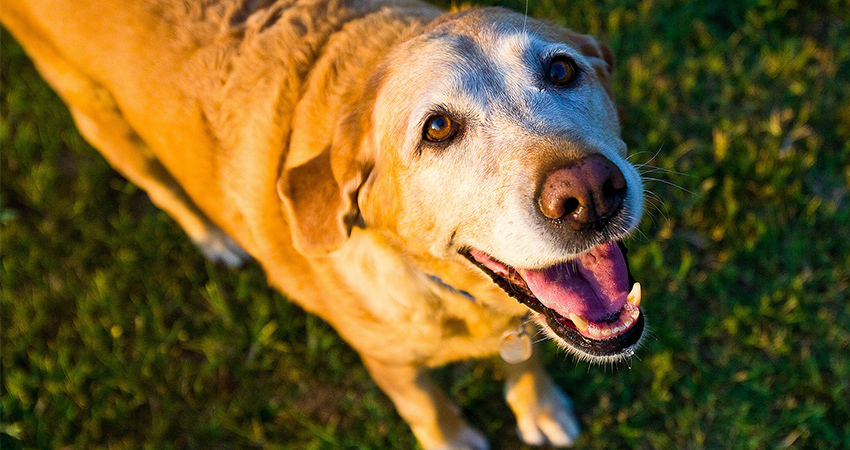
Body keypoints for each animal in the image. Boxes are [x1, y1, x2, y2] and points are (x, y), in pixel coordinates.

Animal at [3, 1, 644, 448]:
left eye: (561, 69)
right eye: (437, 129)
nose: (590, 193)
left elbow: (527, 356)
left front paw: (540, 408)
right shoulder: (389, 364)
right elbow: (428, 408)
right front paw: (456, 438)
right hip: (102, 121)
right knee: (162, 188)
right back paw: (214, 239)